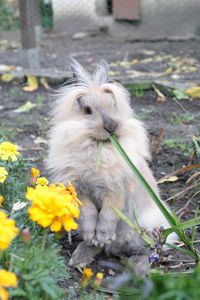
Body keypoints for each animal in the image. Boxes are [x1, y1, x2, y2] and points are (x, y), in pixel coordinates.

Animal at [47, 58, 176, 268]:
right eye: (87, 110)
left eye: (112, 105)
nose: (111, 126)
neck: (99, 148)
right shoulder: (81, 191)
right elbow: (89, 213)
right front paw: (92, 236)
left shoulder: (115, 191)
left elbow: (108, 214)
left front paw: (101, 236)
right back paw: (80, 257)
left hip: (147, 227)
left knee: (151, 249)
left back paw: (138, 266)